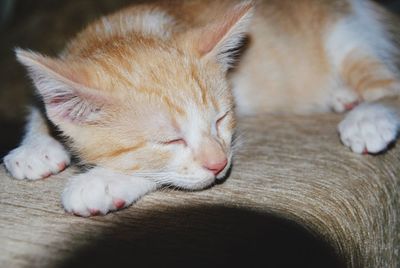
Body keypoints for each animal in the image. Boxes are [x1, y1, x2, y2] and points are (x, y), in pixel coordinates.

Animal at [3, 0, 400, 217]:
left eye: (220, 120)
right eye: (170, 140)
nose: (219, 164)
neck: (127, 29)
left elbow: (158, 172)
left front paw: (101, 182)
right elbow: (41, 105)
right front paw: (36, 148)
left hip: (346, 35)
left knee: (389, 83)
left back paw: (368, 117)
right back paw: (344, 96)